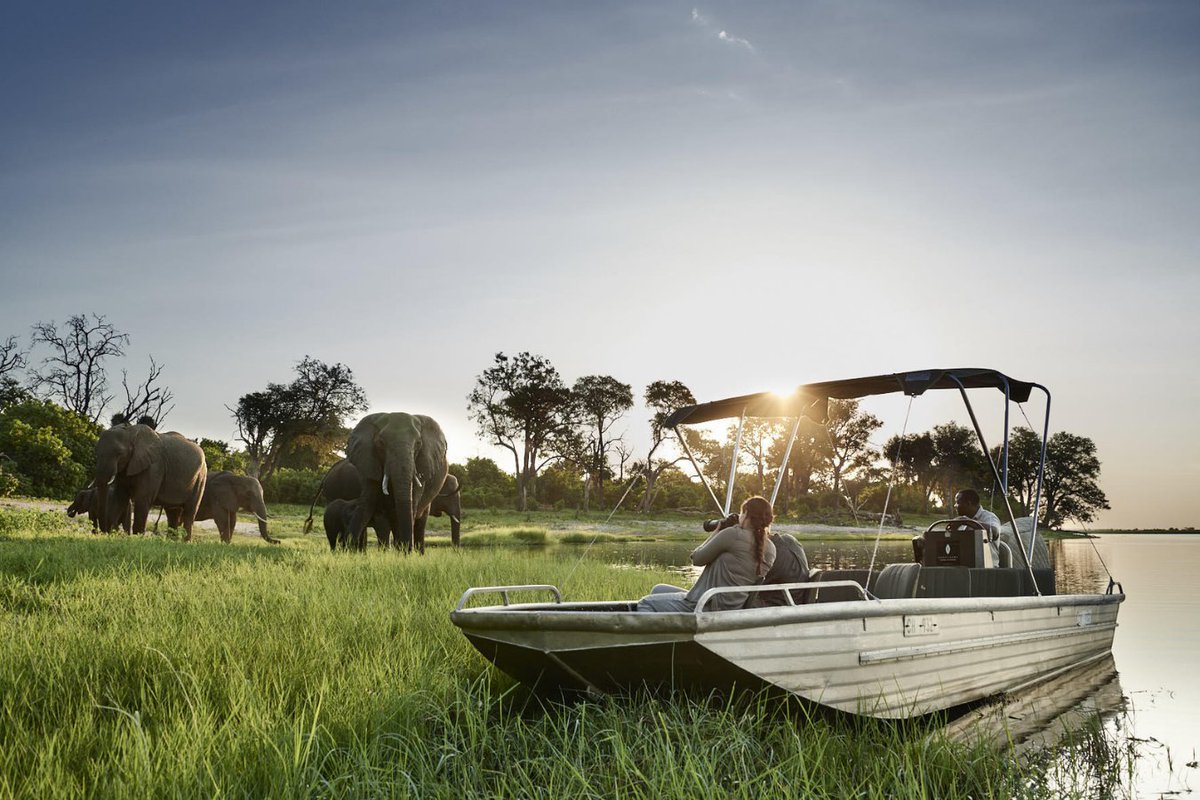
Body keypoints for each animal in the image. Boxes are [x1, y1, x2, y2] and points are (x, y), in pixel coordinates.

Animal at [345, 410, 448, 554]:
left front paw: (406, 554)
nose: (408, 551)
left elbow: (412, 504)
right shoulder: (369, 461)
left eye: (418, 443)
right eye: (381, 443)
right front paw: (346, 552)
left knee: (419, 520)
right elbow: (367, 502)